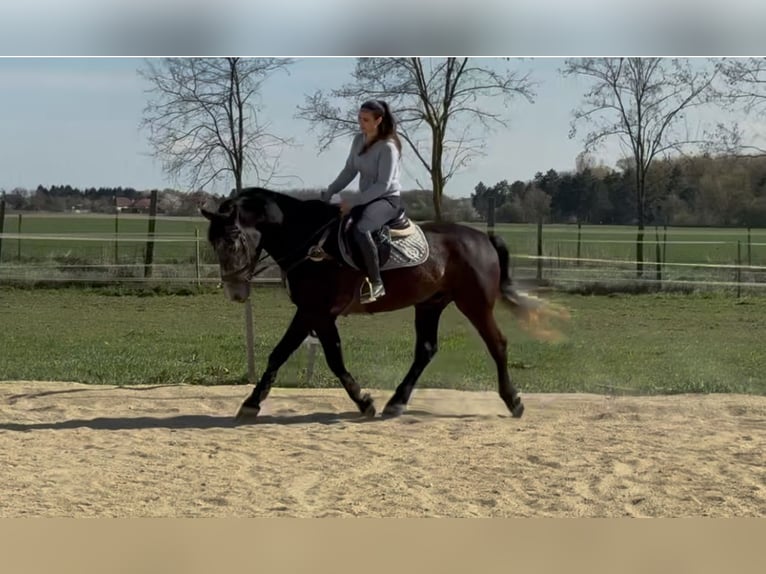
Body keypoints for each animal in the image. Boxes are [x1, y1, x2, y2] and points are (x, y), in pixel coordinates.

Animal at [201, 186, 566, 420]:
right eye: (213, 242)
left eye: (232, 239)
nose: (235, 292)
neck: (310, 243)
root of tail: (482, 237)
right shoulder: (315, 314)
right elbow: (306, 355)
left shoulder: (314, 311)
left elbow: (310, 356)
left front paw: (363, 401)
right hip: (430, 304)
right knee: (426, 350)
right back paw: (396, 402)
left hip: (474, 304)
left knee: (497, 344)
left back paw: (513, 401)